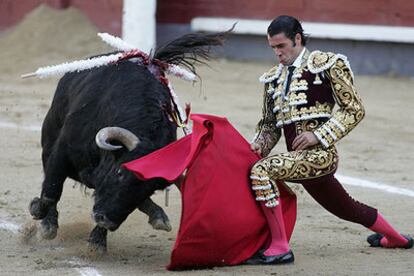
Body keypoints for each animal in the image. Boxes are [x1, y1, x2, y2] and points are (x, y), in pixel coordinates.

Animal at [29, 31, 228, 251]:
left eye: (151, 189)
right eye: (120, 172)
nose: (106, 220)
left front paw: (97, 242)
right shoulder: (62, 151)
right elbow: (51, 190)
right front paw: (43, 218)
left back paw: (158, 215)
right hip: (49, 137)